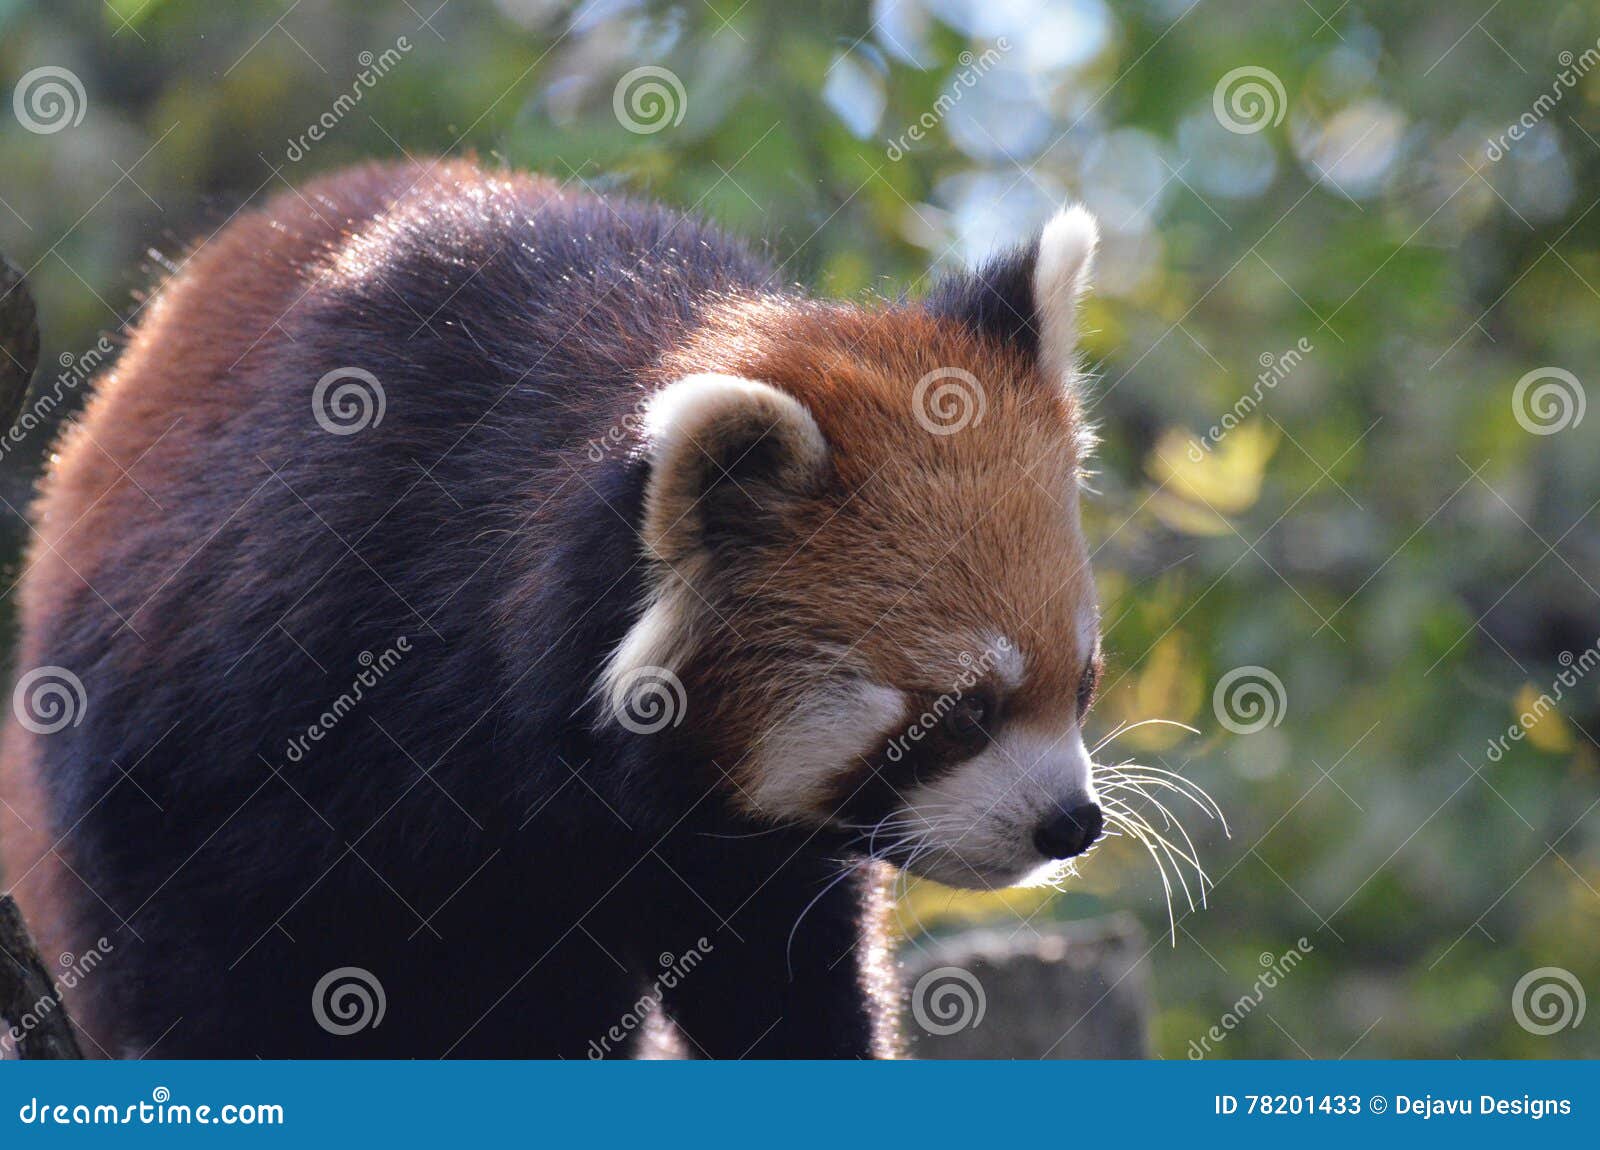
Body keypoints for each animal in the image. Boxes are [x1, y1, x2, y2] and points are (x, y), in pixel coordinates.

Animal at [0, 159, 1105, 1058]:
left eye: (1083, 683)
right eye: (960, 710)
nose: (1073, 822)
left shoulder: (718, 849)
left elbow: (779, 970)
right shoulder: (249, 679)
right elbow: (205, 959)